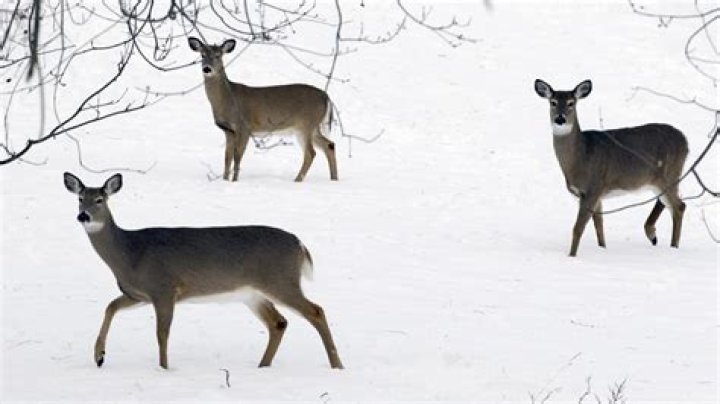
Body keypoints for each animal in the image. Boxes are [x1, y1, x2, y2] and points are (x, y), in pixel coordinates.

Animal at [63, 172, 344, 370]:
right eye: (79, 199)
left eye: (100, 199)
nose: (83, 216)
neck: (131, 253)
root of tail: (300, 244)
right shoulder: (139, 294)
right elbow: (110, 306)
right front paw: (99, 356)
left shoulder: (164, 287)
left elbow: (162, 334)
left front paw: (164, 369)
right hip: (252, 294)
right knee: (278, 323)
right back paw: (263, 366)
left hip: (281, 281)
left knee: (316, 311)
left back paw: (336, 365)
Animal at [188, 36, 338, 182]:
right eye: (202, 55)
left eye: (218, 55)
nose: (207, 68)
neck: (228, 99)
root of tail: (326, 97)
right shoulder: (228, 130)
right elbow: (227, 157)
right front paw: (225, 180)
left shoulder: (244, 126)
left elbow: (237, 156)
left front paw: (234, 181)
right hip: (313, 126)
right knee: (329, 145)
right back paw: (334, 179)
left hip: (305, 124)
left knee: (311, 153)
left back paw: (297, 180)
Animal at [534, 79, 689, 257]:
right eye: (552, 102)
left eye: (571, 103)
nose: (560, 118)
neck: (582, 156)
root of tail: (685, 141)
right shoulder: (597, 193)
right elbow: (599, 225)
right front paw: (602, 248)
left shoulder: (593, 187)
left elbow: (578, 228)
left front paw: (571, 256)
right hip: (661, 179)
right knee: (667, 202)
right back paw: (654, 236)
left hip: (669, 174)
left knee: (679, 206)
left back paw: (673, 246)